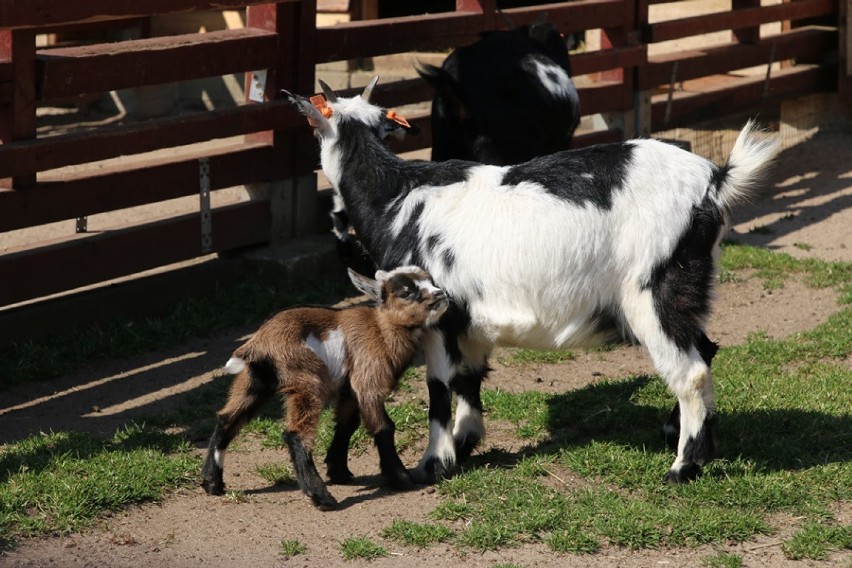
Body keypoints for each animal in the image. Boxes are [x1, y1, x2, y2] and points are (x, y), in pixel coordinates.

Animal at [202, 266, 450, 510]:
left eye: (430, 281)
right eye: (406, 292)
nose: (441, 294)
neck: (381, 329)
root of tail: (259, 342)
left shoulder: (350, 390)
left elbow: (347, 424)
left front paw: (339, 471)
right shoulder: (368, 380)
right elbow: (383, 427)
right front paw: (401, 479)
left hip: (255, 382)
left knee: (227, 419)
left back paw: (212, 483)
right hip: (306, 380)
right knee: (295, 434)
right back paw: (322, 497)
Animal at [284, 77, 780, 486]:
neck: (398, 198)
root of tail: (715, 181)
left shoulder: (438, 313)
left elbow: (439, 387)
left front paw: (434, 463)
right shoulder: (469, 319)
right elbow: (469, 378)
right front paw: (465, 441)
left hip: (654, 290)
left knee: (690, 370)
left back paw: (683, 465)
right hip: (689, 287)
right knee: (705, 349)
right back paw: (676, 432)